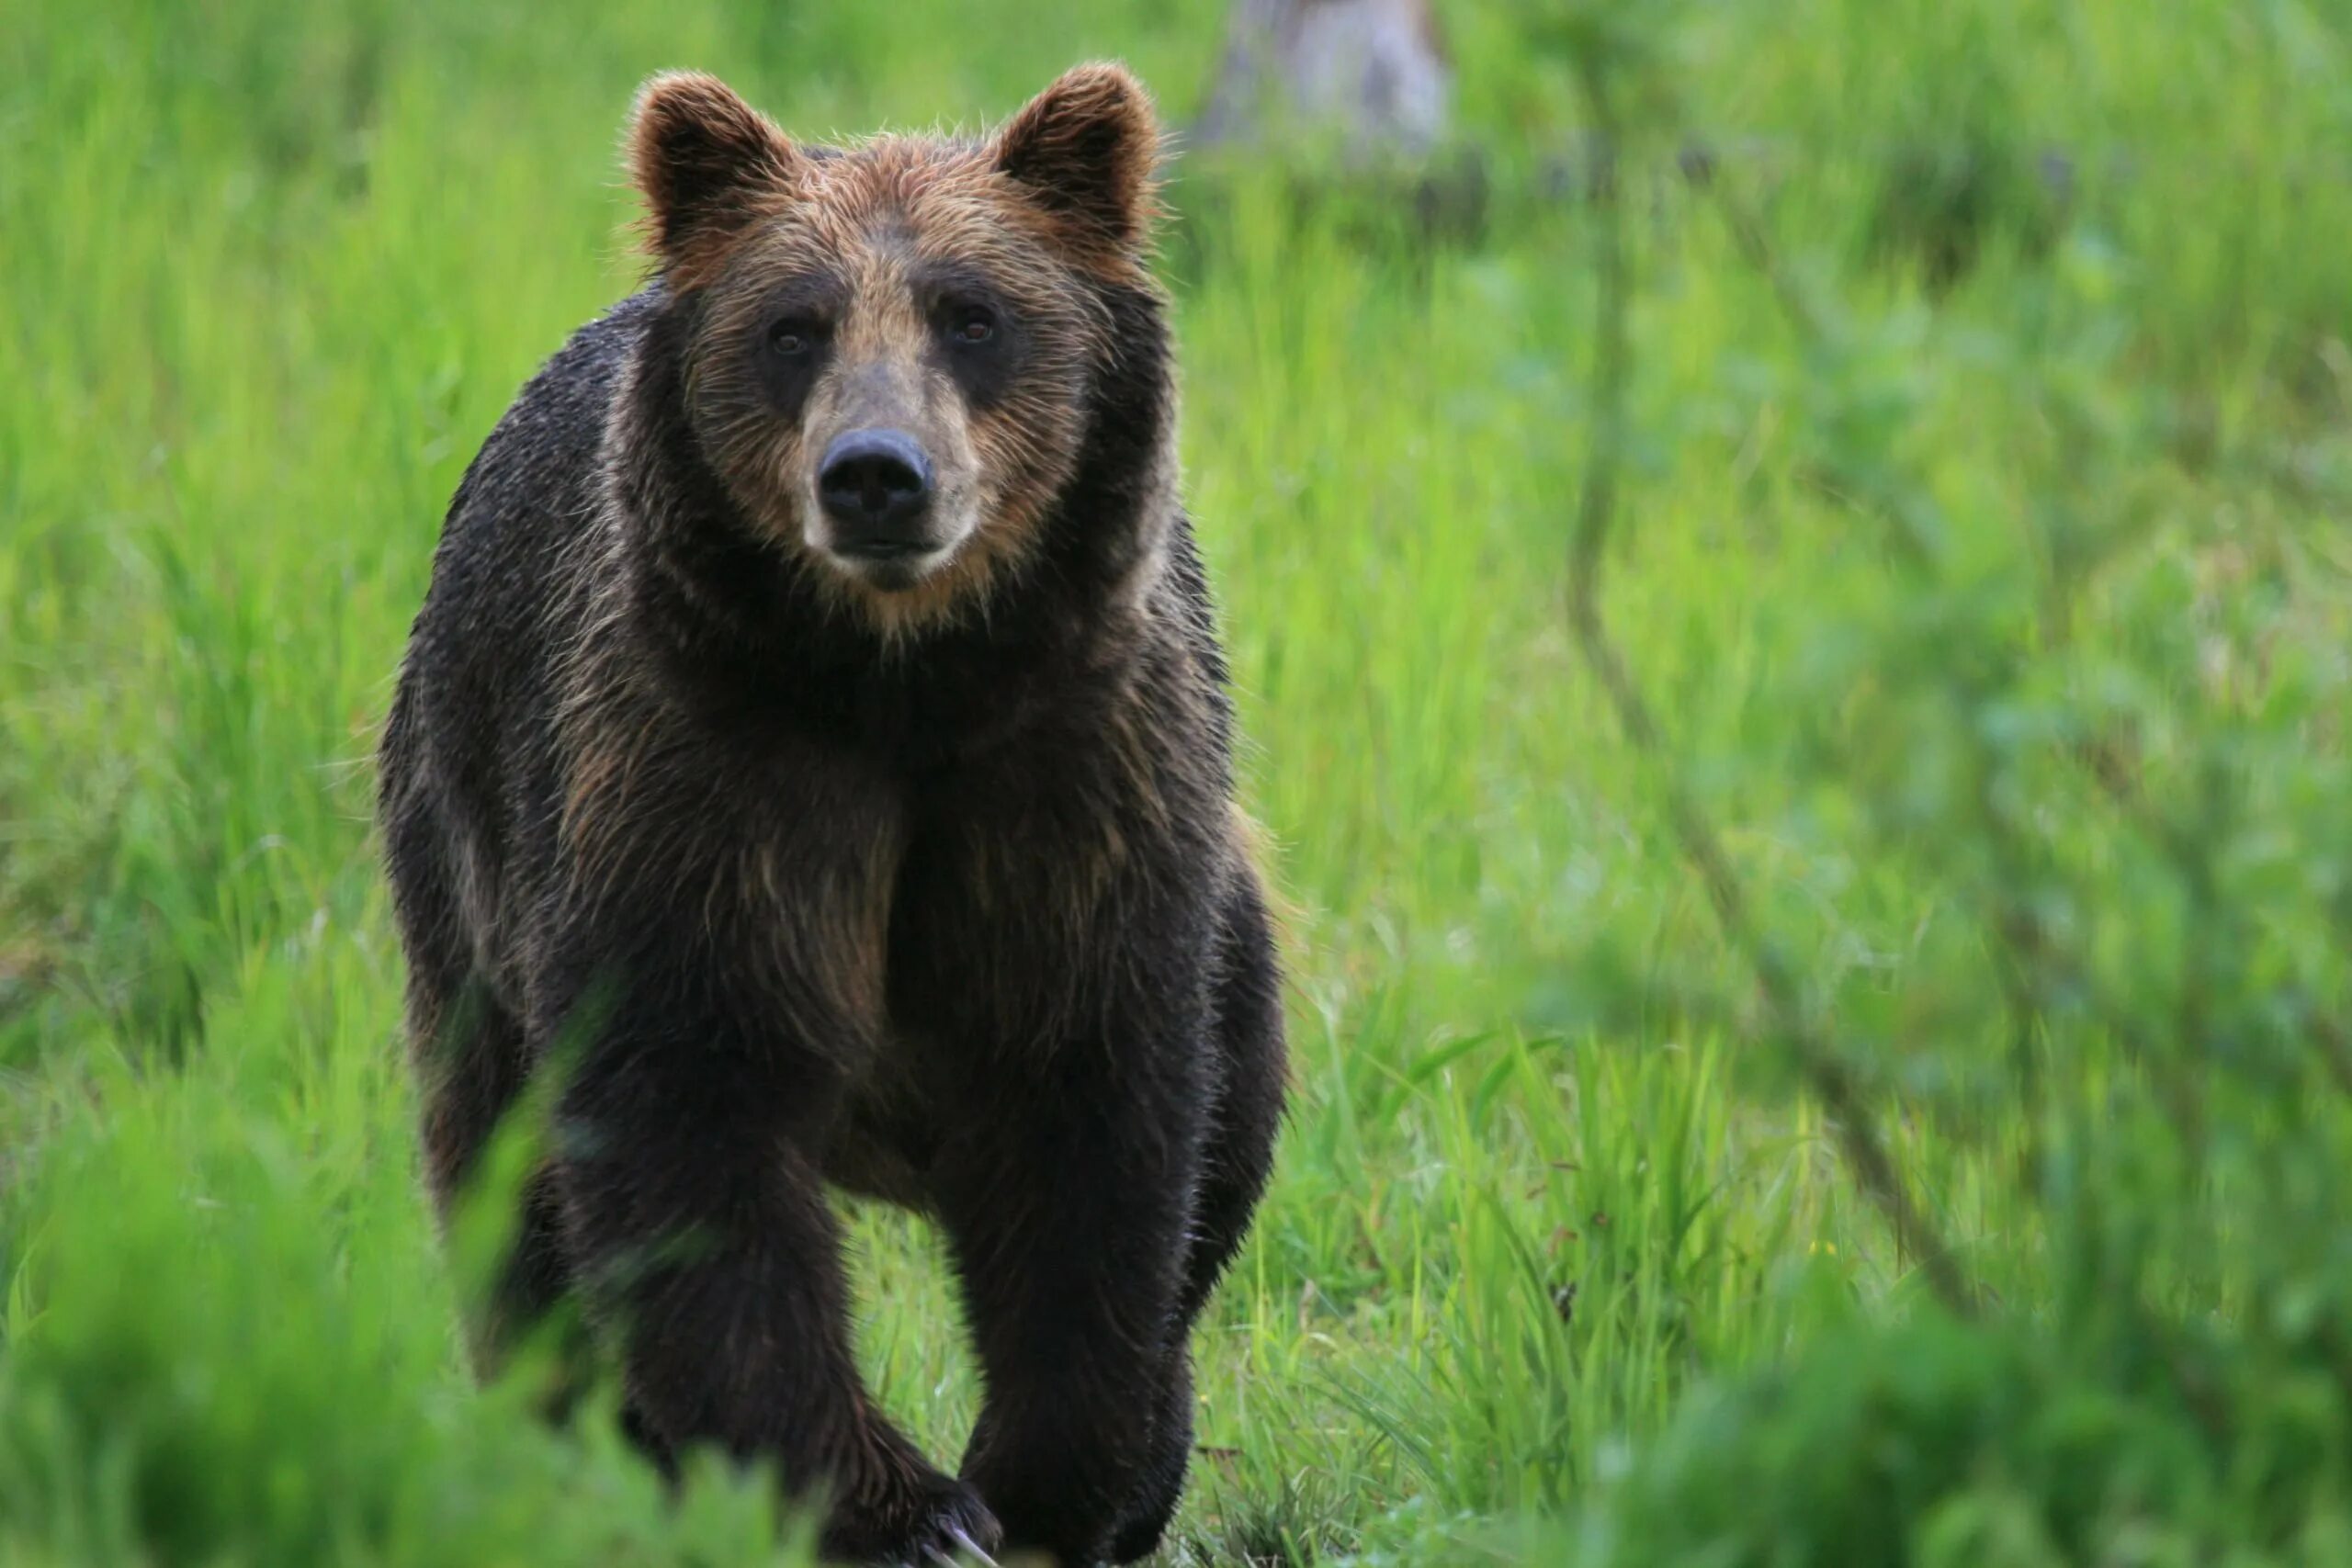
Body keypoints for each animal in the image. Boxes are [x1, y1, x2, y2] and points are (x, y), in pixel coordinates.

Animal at [374, 64, 1288, 1568]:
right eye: (792, 328)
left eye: (973, 315)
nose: (875, 473)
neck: (902, 688)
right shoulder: (703, 779)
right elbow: (688, 1125)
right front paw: (898, 1506)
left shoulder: (1076, 782)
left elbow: (1098, 1119)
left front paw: (1052, 1483)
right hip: (456, 863)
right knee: (508, 1185)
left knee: (1239, 1098)